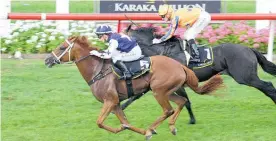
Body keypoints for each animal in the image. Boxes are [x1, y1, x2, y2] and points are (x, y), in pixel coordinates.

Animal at [44, 35, 222, 139]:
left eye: (61, 48)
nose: (47, 60)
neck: (97, 70)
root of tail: (180, 66)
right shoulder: (115, 103)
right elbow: (125, 122)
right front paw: (137, 130)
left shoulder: (110, 100)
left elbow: (100, 122)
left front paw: (145, 132)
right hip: (167, 90)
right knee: (181, 102)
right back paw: (171, 127)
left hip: (159, 91)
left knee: (168, 109)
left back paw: (154, 127)